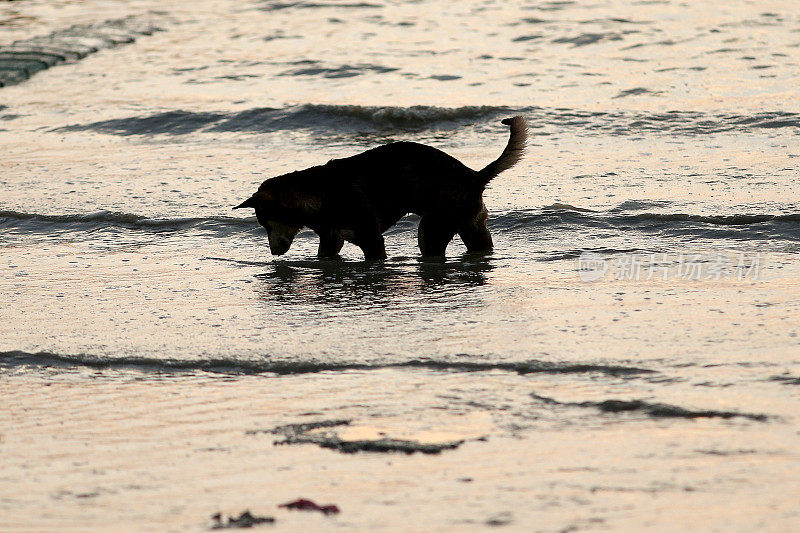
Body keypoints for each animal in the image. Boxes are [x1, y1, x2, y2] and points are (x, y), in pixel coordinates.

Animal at [234, 116, 528, 260]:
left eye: (265, 223)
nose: (273, 253)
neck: (315, 195)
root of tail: (475, 176)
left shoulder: (371, 239)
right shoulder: (331, 240)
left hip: (432, 229)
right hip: (471, 227)